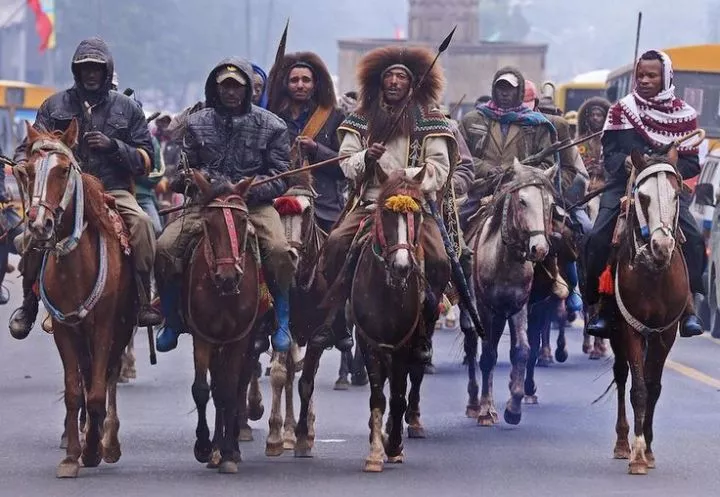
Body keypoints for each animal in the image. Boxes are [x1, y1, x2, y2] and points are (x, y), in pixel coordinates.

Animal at [21, 120, 135, 476]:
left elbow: (98, 390)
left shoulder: (106, 326)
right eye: (29, 170)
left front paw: (95, 449)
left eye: (62, 170)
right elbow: (74, 391)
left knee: (108, 376)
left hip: (120, 328)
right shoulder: (64, 328)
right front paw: (73, 455)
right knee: (86, 378)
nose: (39, 224)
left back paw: (108, 441)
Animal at [186, 172, 262, 474]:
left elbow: (229, 390)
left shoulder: (239, 337)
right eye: (208, 223)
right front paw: (204, 446)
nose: (228, 277)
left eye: (242, 221)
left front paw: (229, 453)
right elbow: (203, 389)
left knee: (237, 384)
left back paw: (232, 446)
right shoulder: (202, 334)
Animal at [600, 146, 688, 472]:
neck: (653, 272)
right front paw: (637, 454)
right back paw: (622, 442)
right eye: (644, 197)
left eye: (677, 195)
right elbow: (638, 387)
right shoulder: (630, 328)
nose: (662, 246)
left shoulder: (665, 332)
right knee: (621, 374)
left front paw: (648, 449)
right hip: (614, 331)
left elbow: (653, 386)